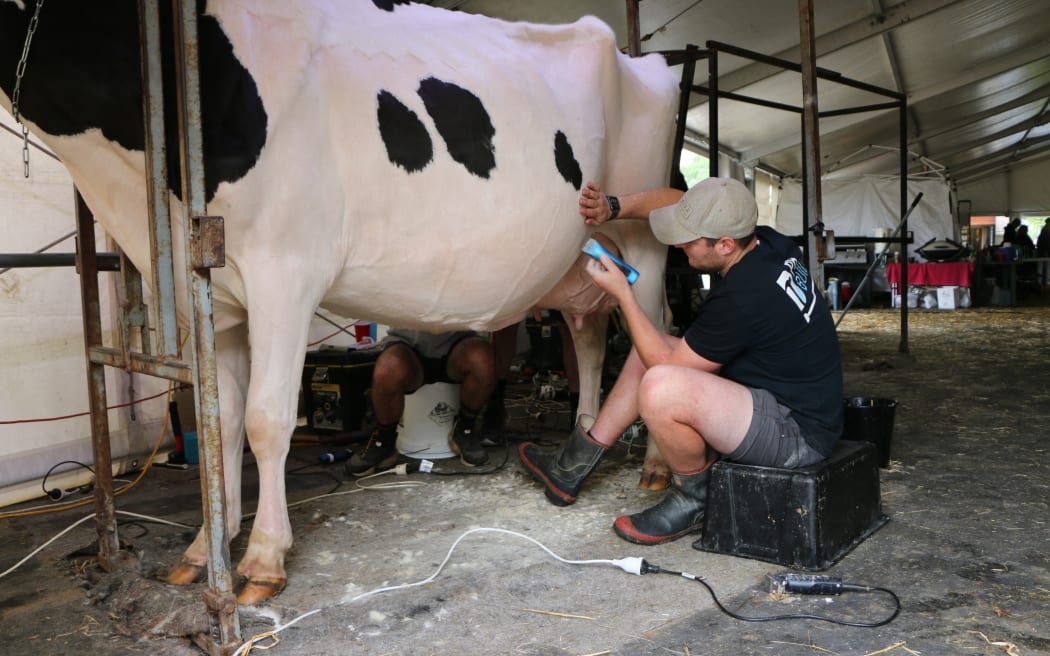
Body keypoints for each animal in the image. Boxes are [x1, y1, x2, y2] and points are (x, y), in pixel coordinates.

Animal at [2, 1, 672, 604]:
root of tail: (636, 56)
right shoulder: (219, 294)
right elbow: (223, 422)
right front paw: (205, 547)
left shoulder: (285, 269)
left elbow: (266, 420)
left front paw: (263, 558)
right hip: (580, 257)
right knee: (588, 337)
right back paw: (579, 437)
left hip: (642, 235)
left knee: (656, 332)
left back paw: (657, 466)